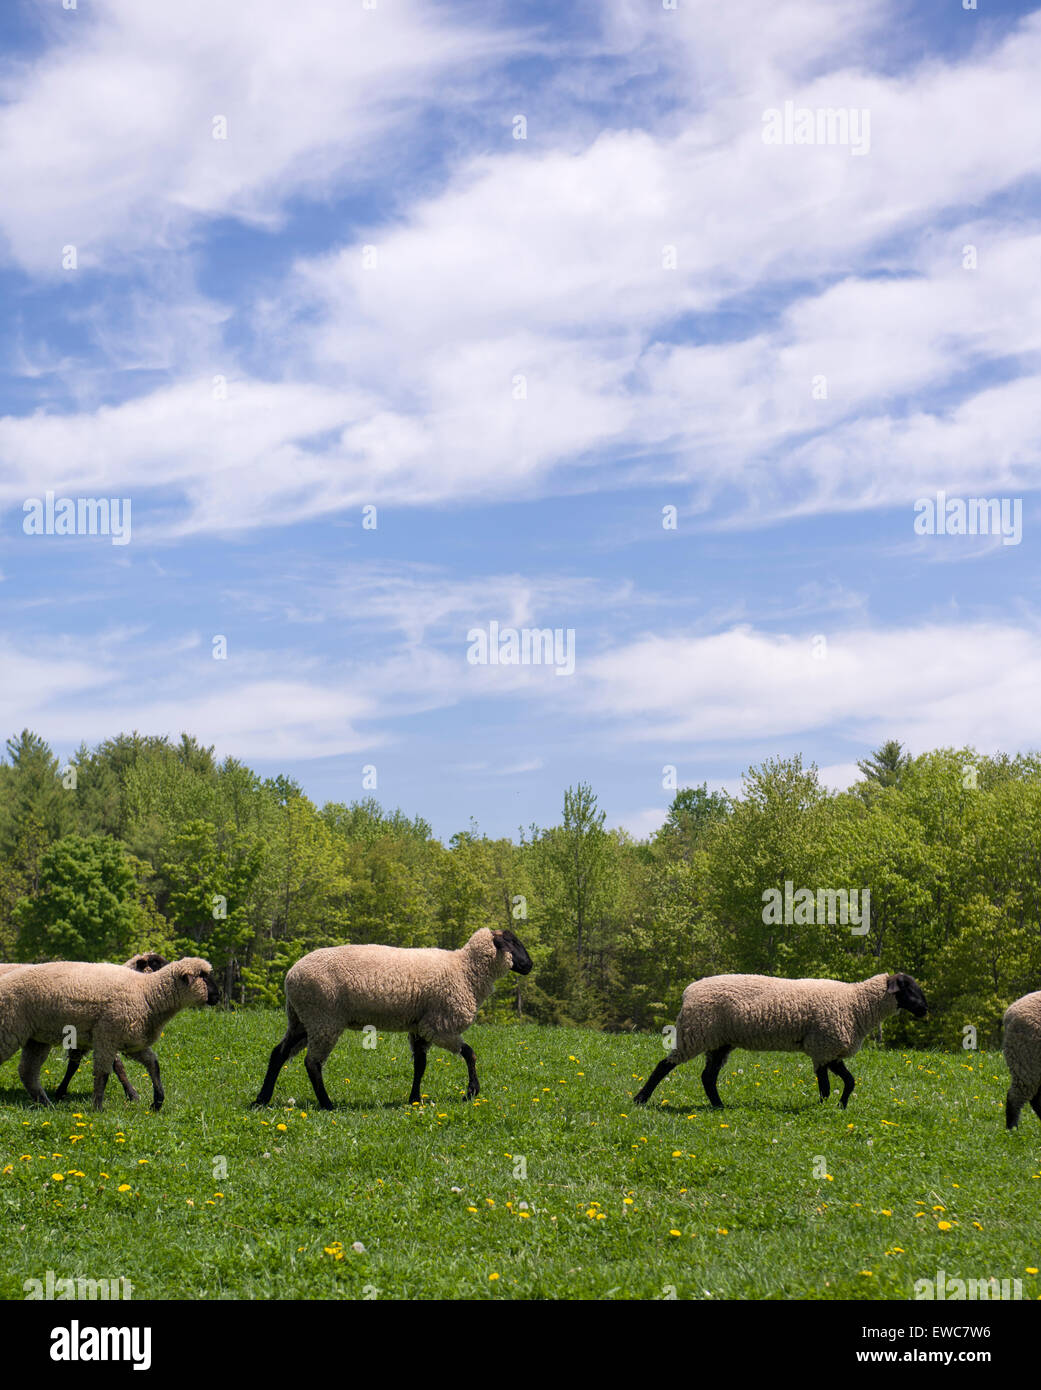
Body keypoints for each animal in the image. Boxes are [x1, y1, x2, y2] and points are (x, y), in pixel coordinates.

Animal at [250, 928, 528, 1112]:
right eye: (512, 942)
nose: (530, 965)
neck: (466, 970)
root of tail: (290, 975)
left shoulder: (420, 1027)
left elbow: (420, 1065)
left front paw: (414, 1099)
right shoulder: (439, 1025)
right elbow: (470, 1053)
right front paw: (472, 1092)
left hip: (302, 1019)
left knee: (278, 1054)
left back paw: (261, 1100)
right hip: (323, 1018)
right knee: (312, 1063)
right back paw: (327, 1104)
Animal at [628, 973, 928, 1112]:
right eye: (909, 989)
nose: (925, 1010)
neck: (857, 1005)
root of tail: (688, 992)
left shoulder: (828, 1051)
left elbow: (849, 1081)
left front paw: (840, 1106)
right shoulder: (822, 1047)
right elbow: (827, 1086)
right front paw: (823, 1107)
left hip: (719, 1041)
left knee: (708, 1076)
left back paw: (719, 1106)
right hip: (696, 1033)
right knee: (664, 1065)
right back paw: (640, 1099)